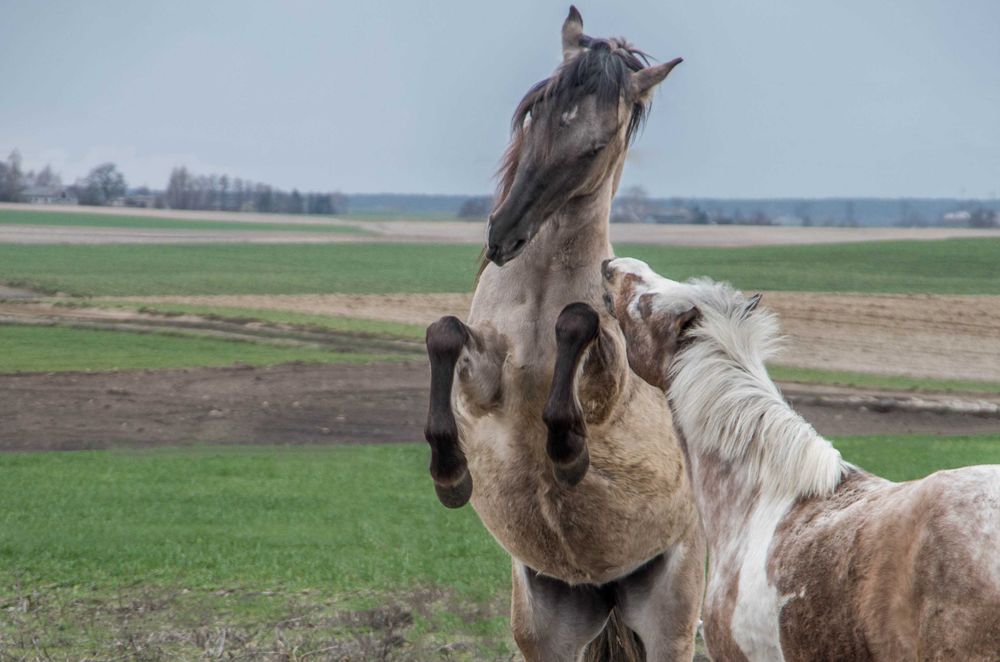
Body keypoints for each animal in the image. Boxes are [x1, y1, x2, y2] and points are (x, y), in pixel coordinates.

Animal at [422, 7, 704, 660]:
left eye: (595, 146)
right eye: (534, 112)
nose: (503, 234)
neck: (536, 295)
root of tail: (605, 586)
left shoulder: (608, 385)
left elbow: (579, 325)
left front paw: (568, 453)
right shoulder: (484, 380)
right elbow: (442, 334)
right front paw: (450, 472)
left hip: (670, 617)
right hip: (546, 625)